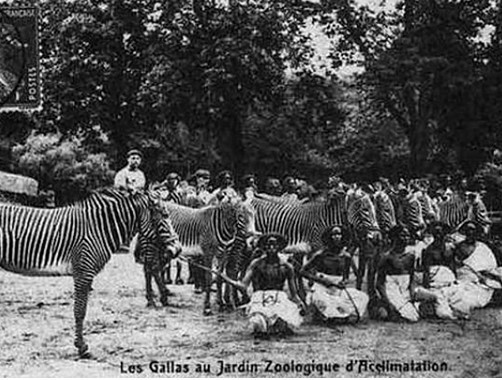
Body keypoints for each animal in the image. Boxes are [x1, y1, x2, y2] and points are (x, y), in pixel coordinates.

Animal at [0, 189, 179, 358]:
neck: (98, 229)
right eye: (164, 216)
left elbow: (81, 310)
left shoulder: (85, 273)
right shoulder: (83, 272)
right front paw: (82, 347)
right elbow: (80, 311)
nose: (177, 250)